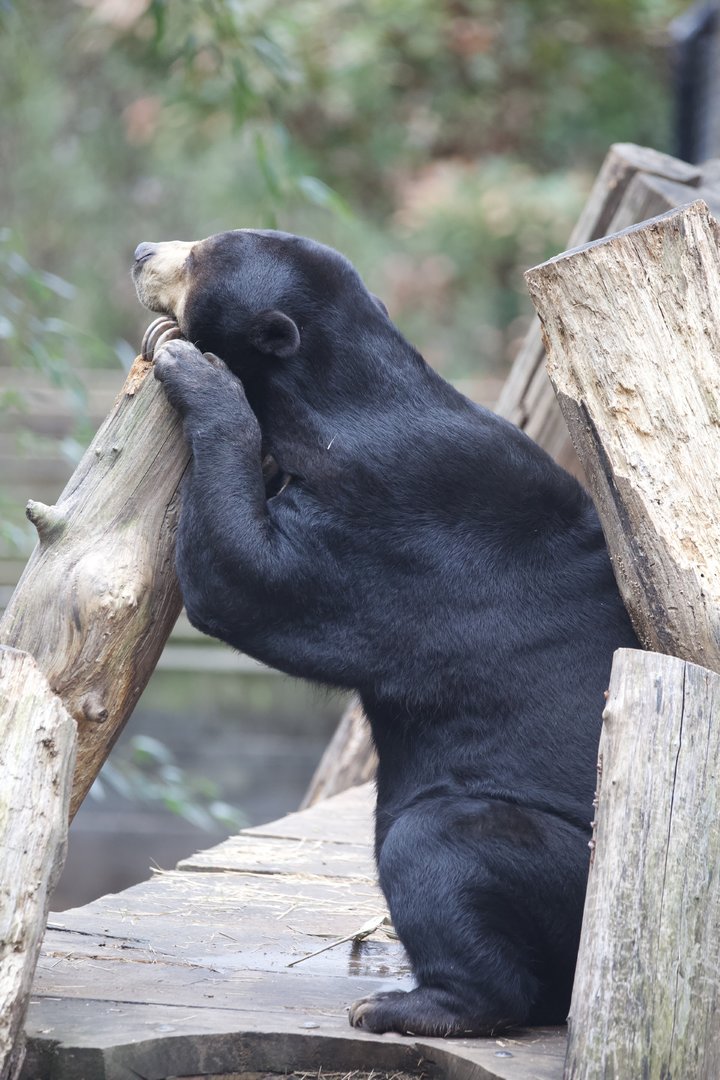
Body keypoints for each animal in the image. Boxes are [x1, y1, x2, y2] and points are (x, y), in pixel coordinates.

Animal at [131, 229, 639, 1038]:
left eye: (203, 257)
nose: (144, 251)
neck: (331, 397)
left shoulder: (389, 519)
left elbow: (249, 581)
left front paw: (192, 371)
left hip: (566, 873)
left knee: (441, 844)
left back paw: (403, 1004)